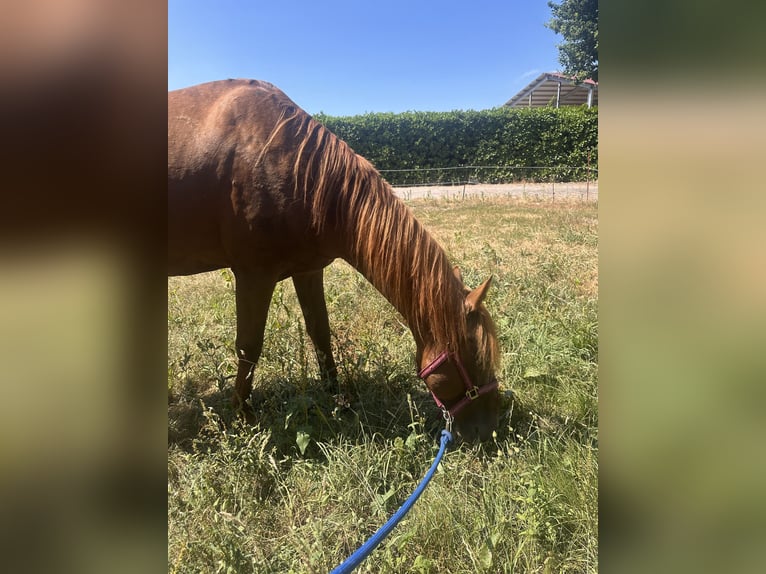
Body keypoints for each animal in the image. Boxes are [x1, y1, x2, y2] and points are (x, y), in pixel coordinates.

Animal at [168, 79, 500, 441]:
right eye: (476, 361)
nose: (491, 428)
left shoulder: (308, 271)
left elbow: (321, 334)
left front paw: (337, 399)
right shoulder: (254, 275)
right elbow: (249, 346)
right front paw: (243, 415)